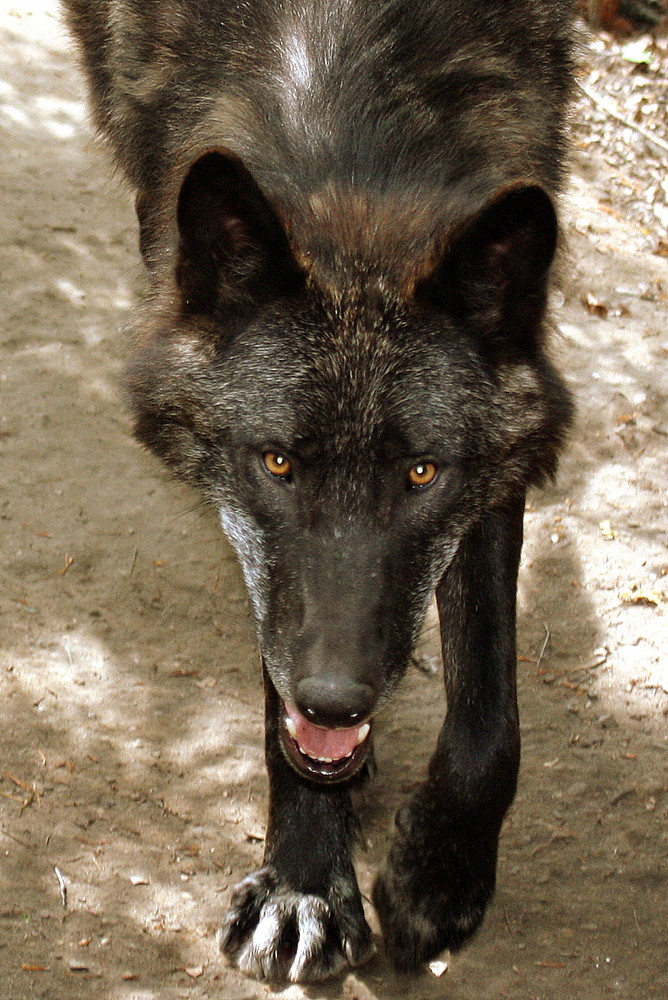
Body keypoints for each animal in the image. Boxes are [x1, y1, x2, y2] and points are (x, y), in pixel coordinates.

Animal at [64, 0, 576, 984]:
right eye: (277, 464)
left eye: (420, 472)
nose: (337, 700)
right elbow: (278, 688)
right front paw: (304, 882)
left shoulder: (492, 474)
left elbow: (489, 712)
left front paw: (440, 878)